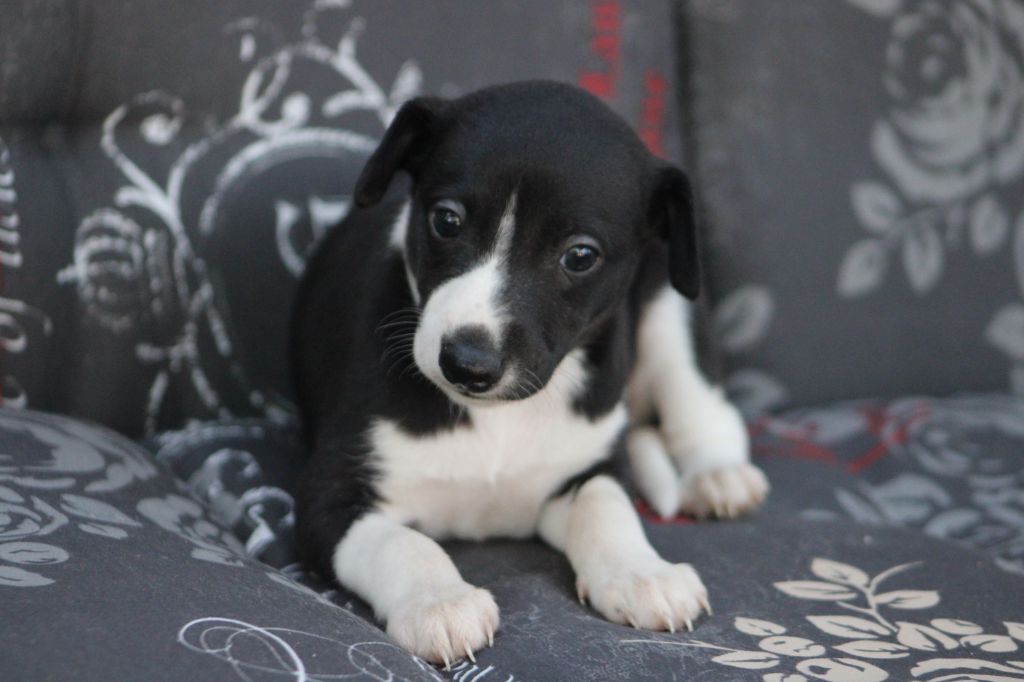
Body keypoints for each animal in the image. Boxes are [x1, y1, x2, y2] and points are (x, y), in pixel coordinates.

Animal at [290, 80, 769, 666]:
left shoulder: (588, 467)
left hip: (672, 303)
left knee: (702, 403)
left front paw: (641, 573)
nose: (468, 363)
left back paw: (719, 474)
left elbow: (607, 509)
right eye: (446, 220)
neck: (496, 418)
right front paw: (440, 602)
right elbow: (401, 542)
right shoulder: (328, 497)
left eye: (580, 256)